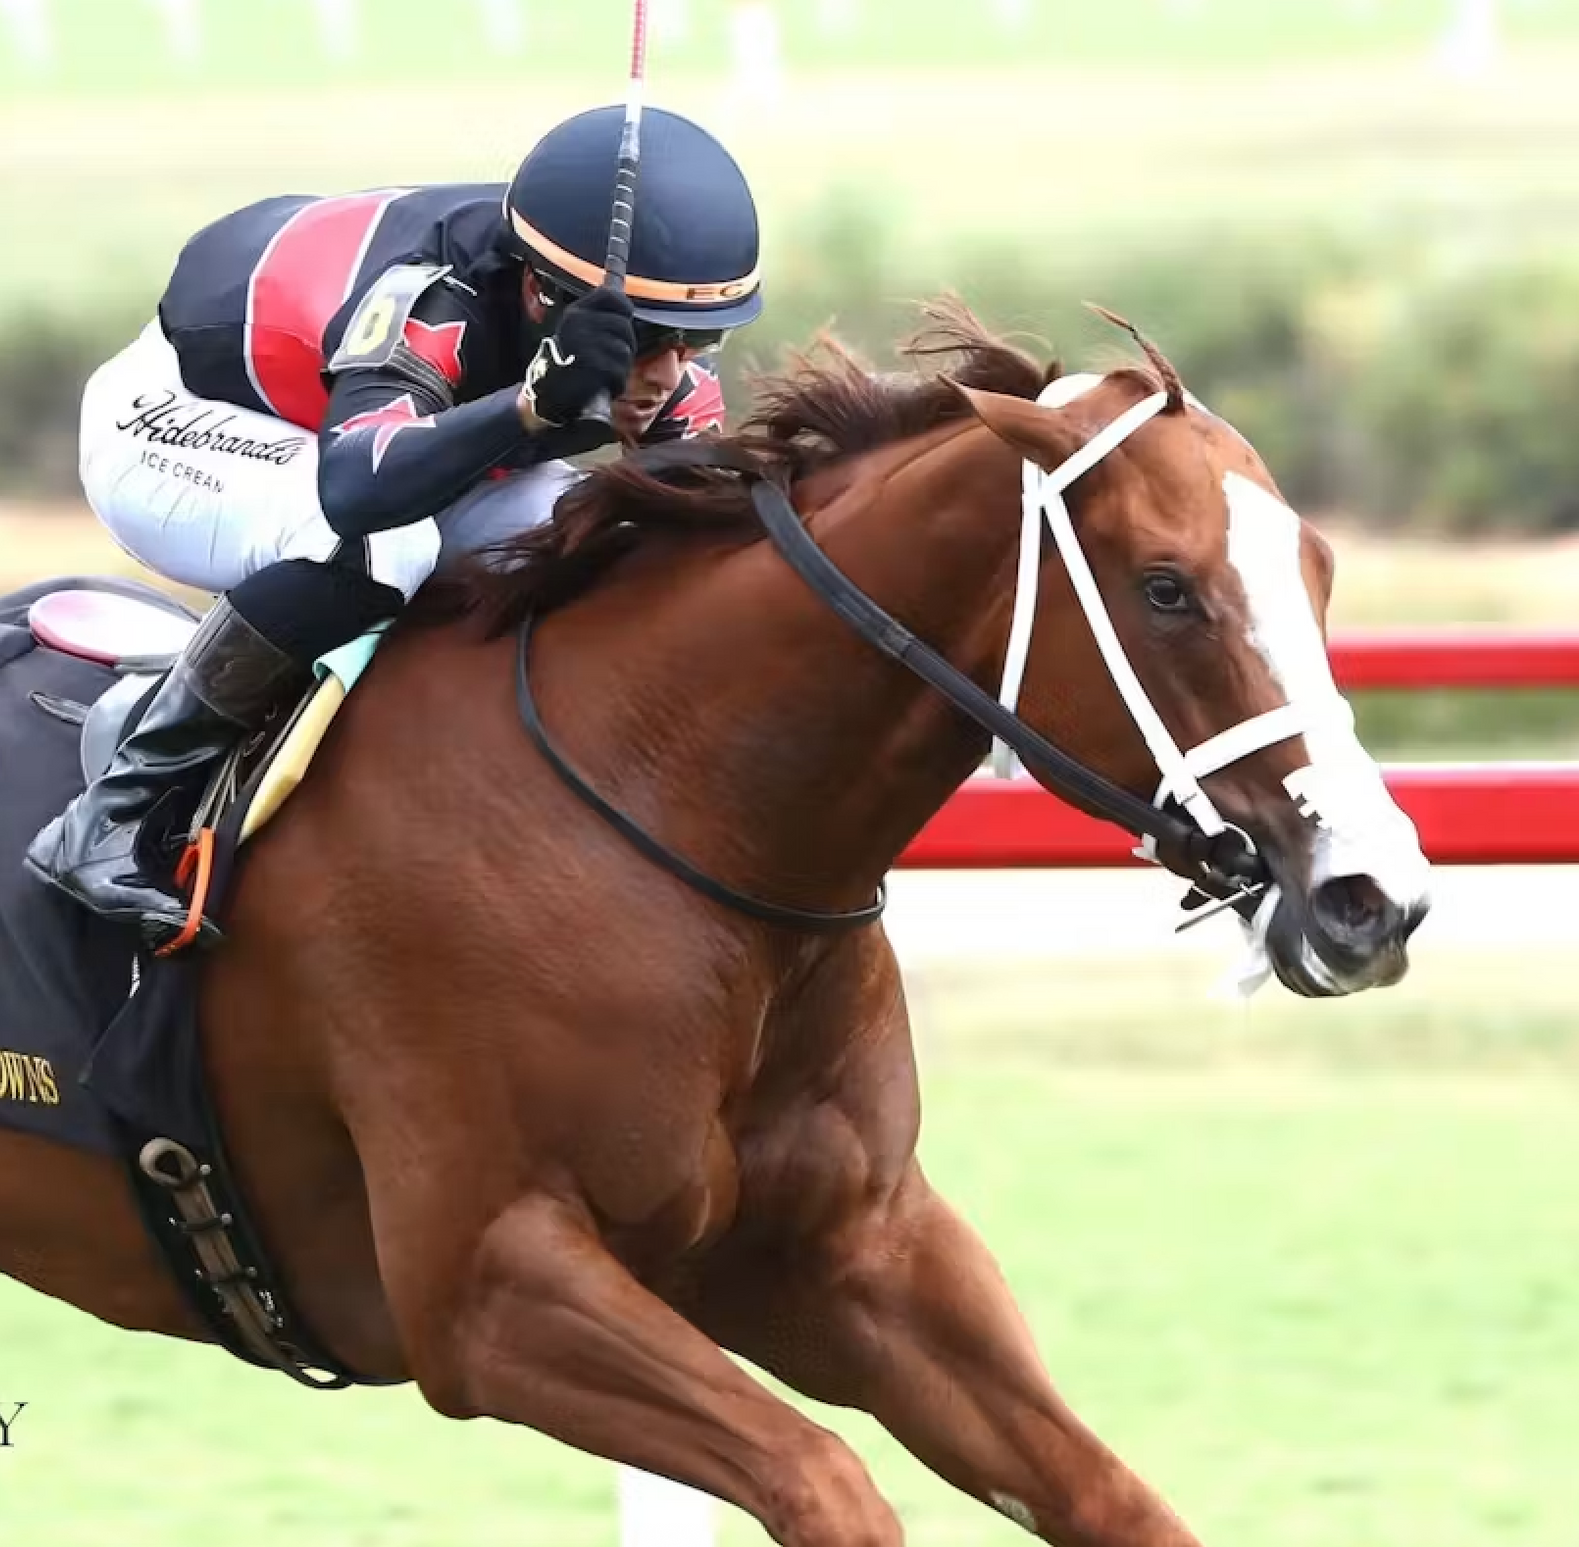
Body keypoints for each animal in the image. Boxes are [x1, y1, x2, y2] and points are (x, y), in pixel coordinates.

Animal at [0, 300, 1429, 1547]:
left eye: (1319, 569)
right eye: (1167, 587)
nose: (1373, 896)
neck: (671, 809)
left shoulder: (854, 1254)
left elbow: (1110, 1496)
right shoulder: (489, 1286)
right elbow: (828, 1482)